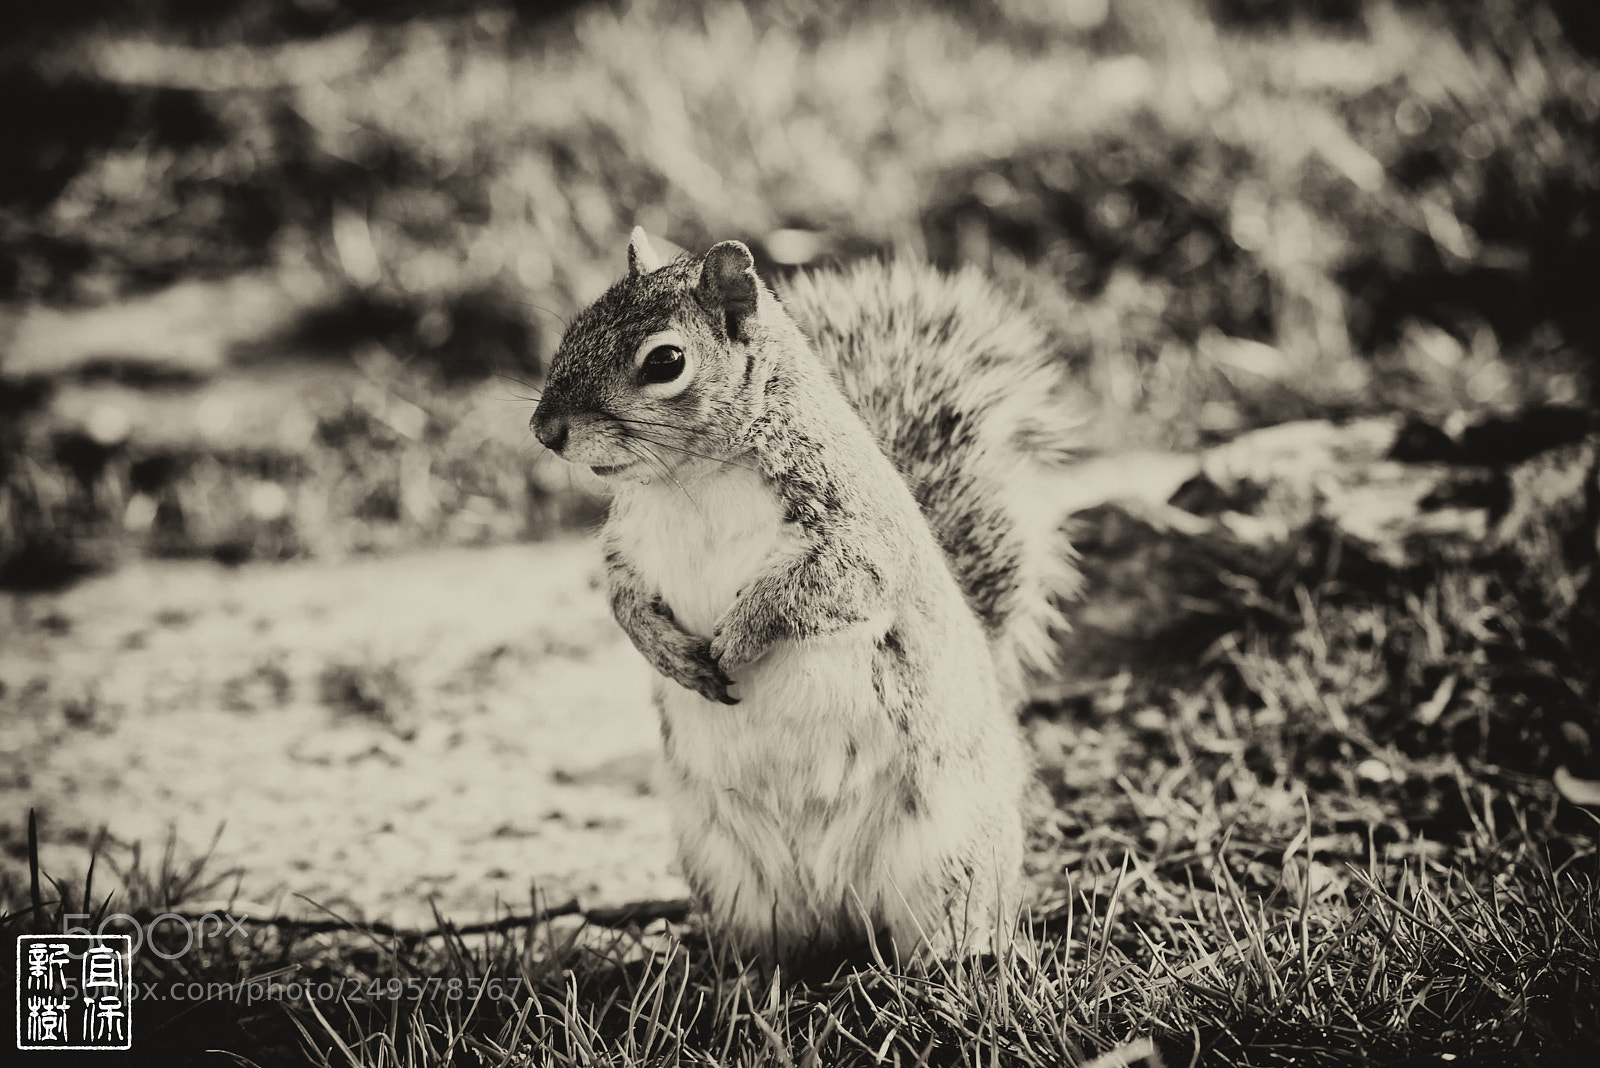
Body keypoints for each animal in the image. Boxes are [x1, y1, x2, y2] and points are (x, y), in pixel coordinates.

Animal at [530, 228, 1080, 968]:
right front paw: (673, 656)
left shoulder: (857, 530)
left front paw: (738, 635)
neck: (691, 480)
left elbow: (829, 584)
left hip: (948, 853)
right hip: (726, 868)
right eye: (575, 326)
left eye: (666, 361)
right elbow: (623, 603)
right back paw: (743, 976)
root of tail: (835, 901)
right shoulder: (627, 547)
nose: (545, 430)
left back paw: (947, 964)